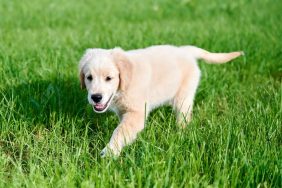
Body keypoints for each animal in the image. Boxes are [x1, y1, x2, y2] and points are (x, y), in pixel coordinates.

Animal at [79, 44, 242, 156]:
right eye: (89, 77)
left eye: (109, 78)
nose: (96, 97)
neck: (125, 84)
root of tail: (186, 50)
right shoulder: (123, 111)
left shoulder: (136, 114)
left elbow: (120, 131)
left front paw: (109, 152)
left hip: (183, 97)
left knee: (184, 117)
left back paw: (181, 133)